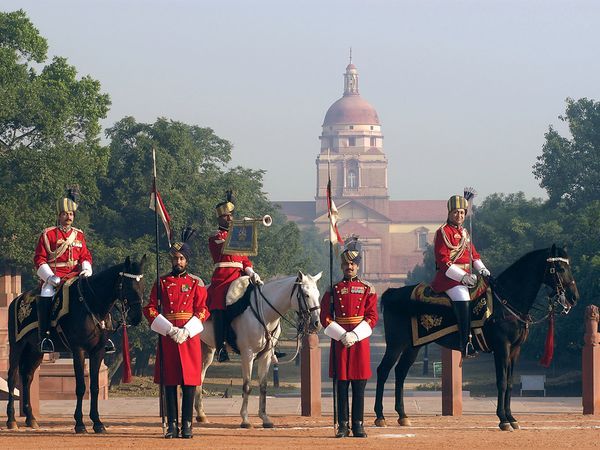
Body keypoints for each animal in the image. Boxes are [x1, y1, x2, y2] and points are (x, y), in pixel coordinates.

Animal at [6, 255, 146, 434]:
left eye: (142, 285)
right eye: (128, 285)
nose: (137, 317)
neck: (92, 304)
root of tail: (17, 299)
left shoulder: (98, 351)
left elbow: (94, 386)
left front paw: (97, 422)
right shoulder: (78, 349)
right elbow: (80, 386)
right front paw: (79, 423)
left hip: (35, 350)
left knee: (27, 377)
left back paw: (31, 418)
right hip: (17, 346)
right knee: (12, 377)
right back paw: (11, 420)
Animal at [196, 270, 322, 428]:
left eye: (318, 294)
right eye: (306, 294)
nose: (317, 323)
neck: (266, 314)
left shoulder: (266, 355)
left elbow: (263, 385)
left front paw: (265, 418)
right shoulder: (247, 354)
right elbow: (247, 386)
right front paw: (245, 419)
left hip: (207, 350)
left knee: (199, 377)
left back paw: (201, 415)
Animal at [376, 244, 576, 430]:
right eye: (559, 267)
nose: (574, 297)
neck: (506, 301)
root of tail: (392, 292)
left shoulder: (515, 350)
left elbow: (511, 383)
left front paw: (511, 418)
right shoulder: (502, 348)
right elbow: (502, 382)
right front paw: (503, 419)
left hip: (413, 346)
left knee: (400, 372)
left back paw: (402, 415)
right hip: (395, 344)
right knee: (384, 371)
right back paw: (380, 416)